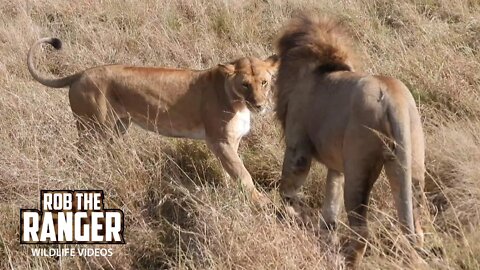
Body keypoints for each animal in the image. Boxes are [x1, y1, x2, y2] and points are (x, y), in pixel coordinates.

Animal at [29, 38, 278, 206]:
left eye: (264, 82)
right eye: (245, 84)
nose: (260, 105)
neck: (240, 103)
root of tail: (81, 73)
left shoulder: (231, 141)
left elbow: (230, 171)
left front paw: (230, 193)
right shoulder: (219, 140)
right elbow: (243, 173)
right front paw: (261, 202)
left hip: (118, 126)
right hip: (93, 127)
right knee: (82, 152)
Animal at [276, 14, 426, 266]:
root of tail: (393, 99)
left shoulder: (298, 148)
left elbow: (287, 188)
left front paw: (288, 214)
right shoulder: (337, 167)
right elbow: (330, 202)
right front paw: (326, 234)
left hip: (359, 166)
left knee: (362, 230)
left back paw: (347, 261)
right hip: (410, 160)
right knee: (416, 220)